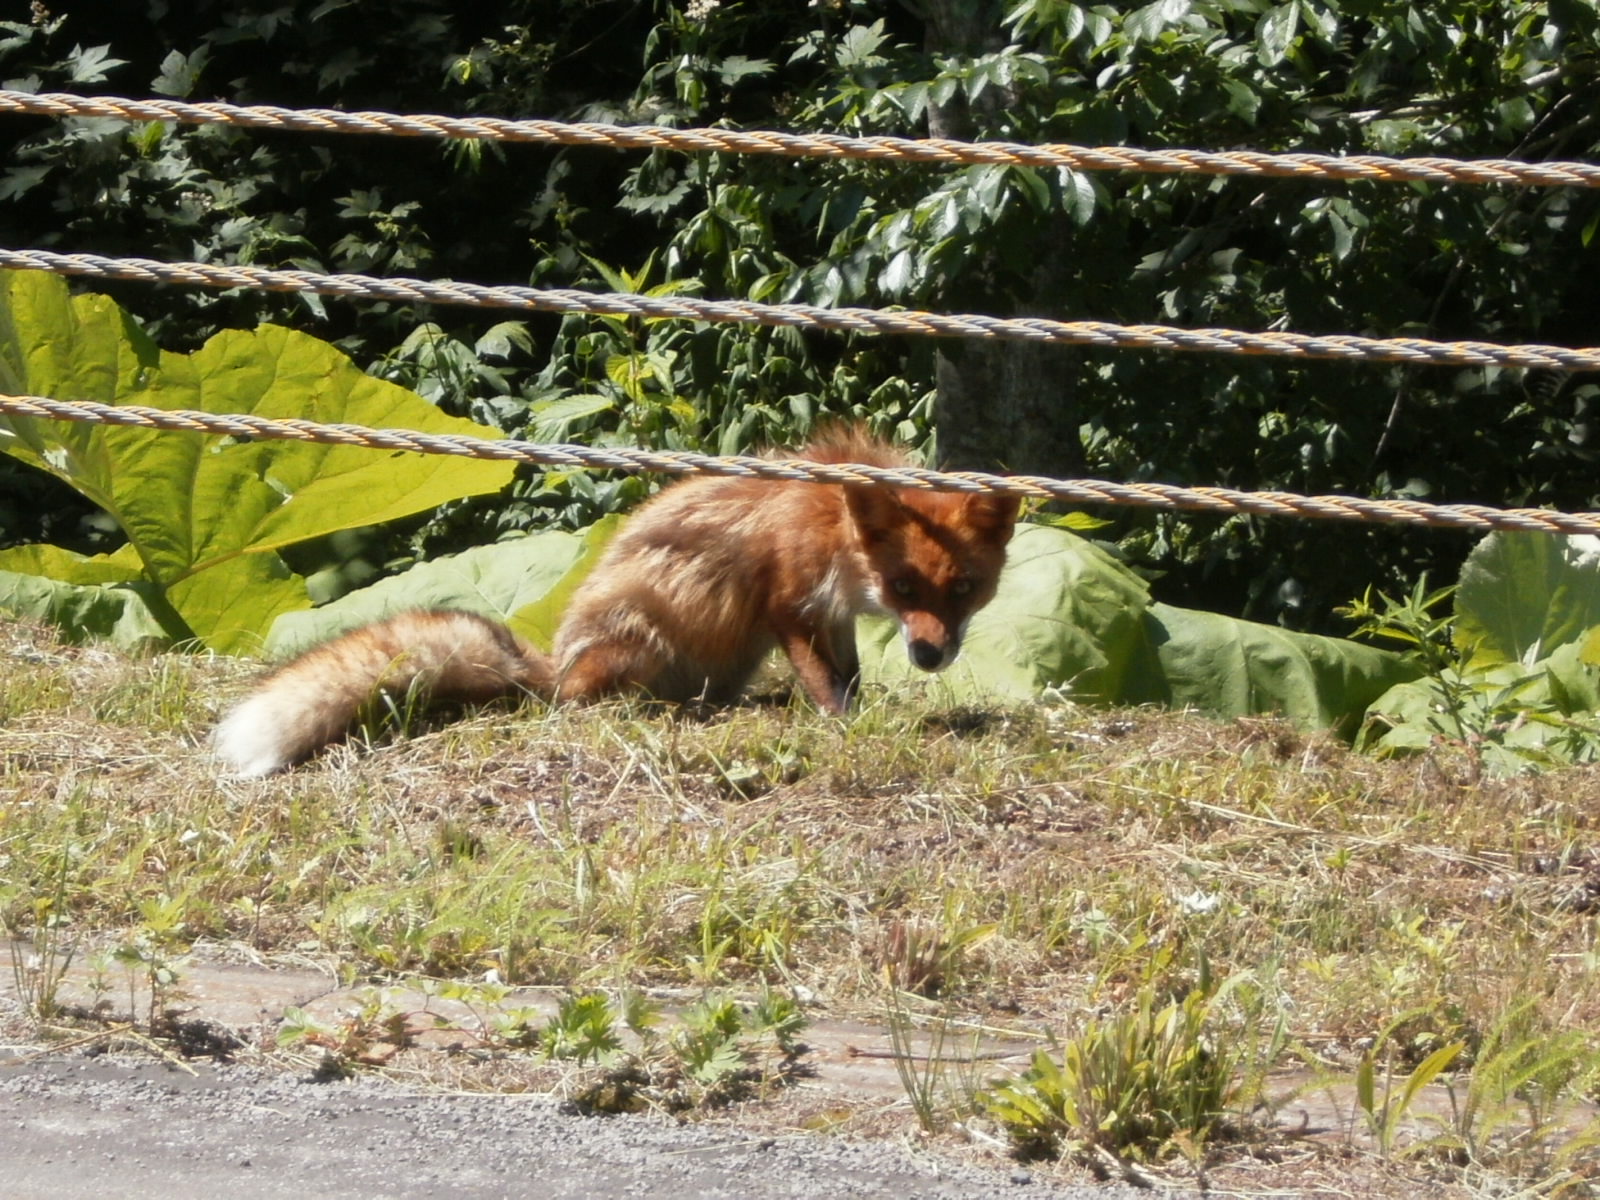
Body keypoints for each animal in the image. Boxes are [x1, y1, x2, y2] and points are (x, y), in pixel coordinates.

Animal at [212, 428, 1017, 780]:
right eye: (905, 587)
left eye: (963, 589)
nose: (929, 653)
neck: (831, 532)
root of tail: (552, 665)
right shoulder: (790, 605)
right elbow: (828, 688)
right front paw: (844, 726)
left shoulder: (835, 619)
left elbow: (848, 678)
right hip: (645, 641)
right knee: (592, 701)